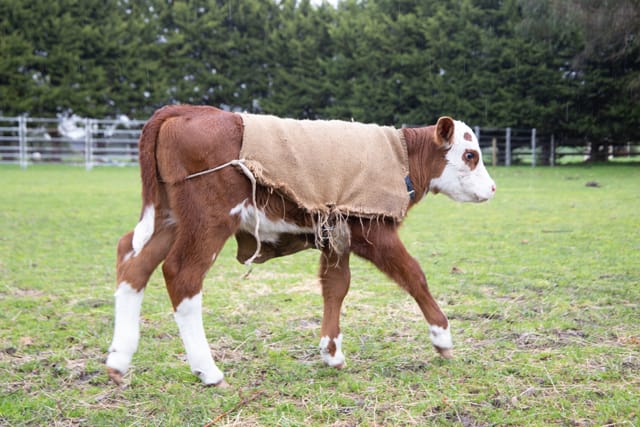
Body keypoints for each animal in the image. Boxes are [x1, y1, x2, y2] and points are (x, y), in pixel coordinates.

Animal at [106, 105, 496, 387]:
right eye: (470, 155)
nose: (492, 189)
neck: (400, 157)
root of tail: (184, 110)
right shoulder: (374, 231)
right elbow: (414, 275)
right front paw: (442, 337)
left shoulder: (337, 235)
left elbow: (336, 286)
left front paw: (331, 351)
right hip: (209, 220)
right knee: (182, 273)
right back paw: (208, 371)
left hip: (169, 217)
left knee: (133, 259)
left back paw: (118, 360)